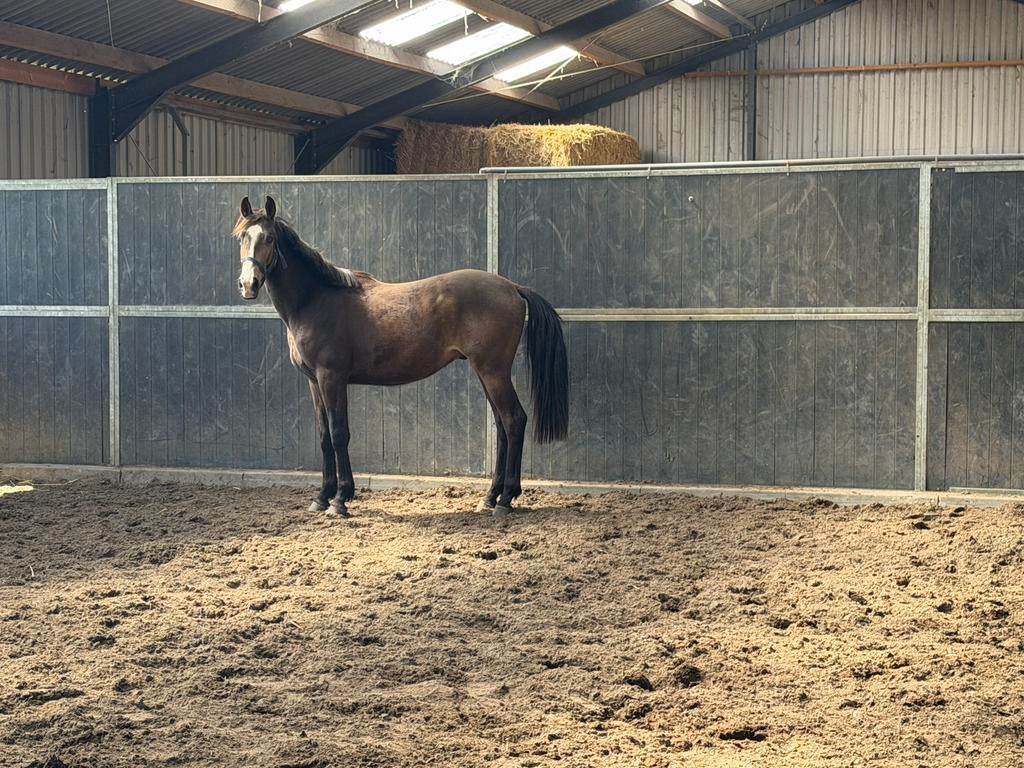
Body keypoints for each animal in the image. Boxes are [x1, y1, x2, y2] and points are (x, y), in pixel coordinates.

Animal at [233, 195, 569, 517]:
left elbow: (339, 434)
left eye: (269, 238)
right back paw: (490, 497)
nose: (248, 284)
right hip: (485, 372)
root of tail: (511, 287)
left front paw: (341, 499)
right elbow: (324, 436)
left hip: (493, 371)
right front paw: (321, 497)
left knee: (514, 420)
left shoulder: (332, 378)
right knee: (501, 427)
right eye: (241, 238)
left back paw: (506, 499)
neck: (316, 299)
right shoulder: (314, 382)